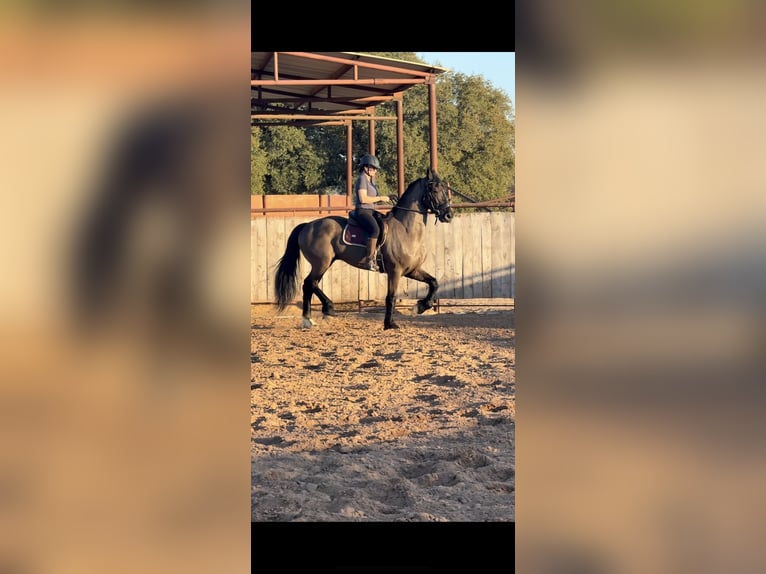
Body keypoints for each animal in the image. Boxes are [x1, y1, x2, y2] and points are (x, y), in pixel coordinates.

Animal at [274, 168, 454, 330]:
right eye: (435, 190)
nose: (449, 215)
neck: (406, 229)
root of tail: (307, 225)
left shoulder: (411, 270)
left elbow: (434, 283)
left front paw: (420, 307)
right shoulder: (395, 271)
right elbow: (391, 297)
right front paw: (389, 324)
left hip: (325, 263)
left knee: (312, 284)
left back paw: (319, 314)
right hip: (321, 263)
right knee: (309, 283)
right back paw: (315, 316)